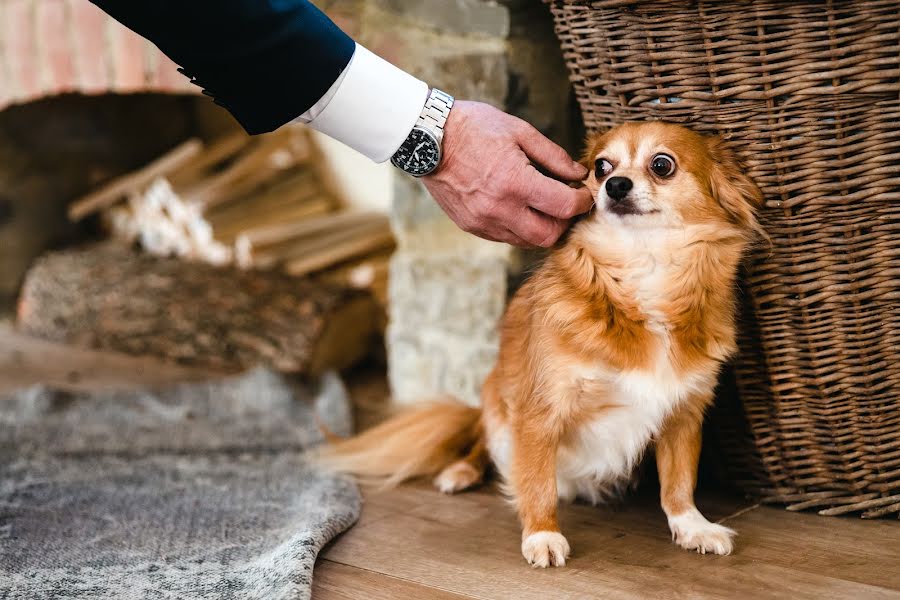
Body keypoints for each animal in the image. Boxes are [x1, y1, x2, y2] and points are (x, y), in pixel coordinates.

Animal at [320, 120, 764, 568]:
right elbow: (537, 482)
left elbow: (679, 481)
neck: (644, 266)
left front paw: (692, 525)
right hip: (497, 403)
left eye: (662, 165)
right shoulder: (539, 410)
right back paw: (460, 472)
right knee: (482, 440)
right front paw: (542, 534)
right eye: (601, 167)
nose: (616, 185)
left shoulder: (683, 412)